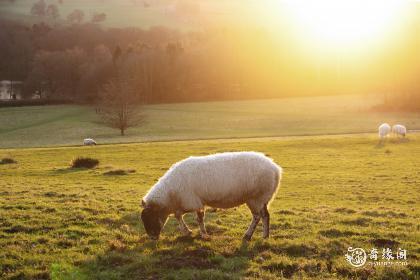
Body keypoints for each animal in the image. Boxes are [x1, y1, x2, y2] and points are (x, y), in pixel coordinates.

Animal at [141, 152, 282, 242]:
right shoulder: (186, 203)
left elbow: (198, 219)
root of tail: (276, 169)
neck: (170, 194)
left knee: (258, 216)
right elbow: (178, 216)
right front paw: (187, 232)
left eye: (151, 217)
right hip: (262, 198)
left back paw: (249, 236)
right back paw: (265, 236)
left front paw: (204, 235)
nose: (152, 239)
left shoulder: (193, 202)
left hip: (257, 197)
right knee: (265, 215)